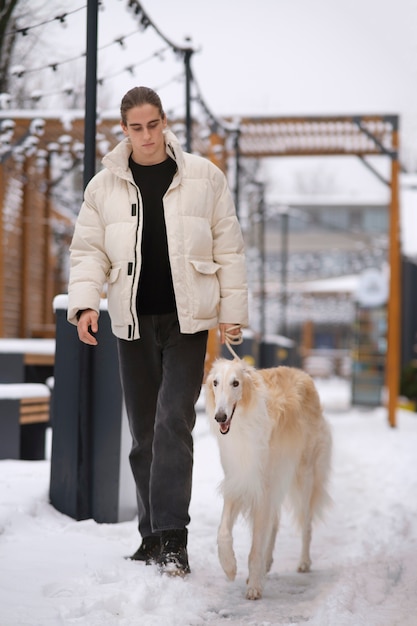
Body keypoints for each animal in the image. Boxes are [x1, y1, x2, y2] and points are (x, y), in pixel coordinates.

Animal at [205, 356, 332, 600]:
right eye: (215, 383)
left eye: (236, 383)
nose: (220, 417)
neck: (244, 423)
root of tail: (303, 373)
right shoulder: (238, 481)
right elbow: (223, 532)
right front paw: (230, 567)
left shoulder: (262, 489)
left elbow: (255, 548)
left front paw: (254, 587)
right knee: (274, 522)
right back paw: (266, 564)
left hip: (303, 477)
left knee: (306, 524)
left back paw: (304, 562)